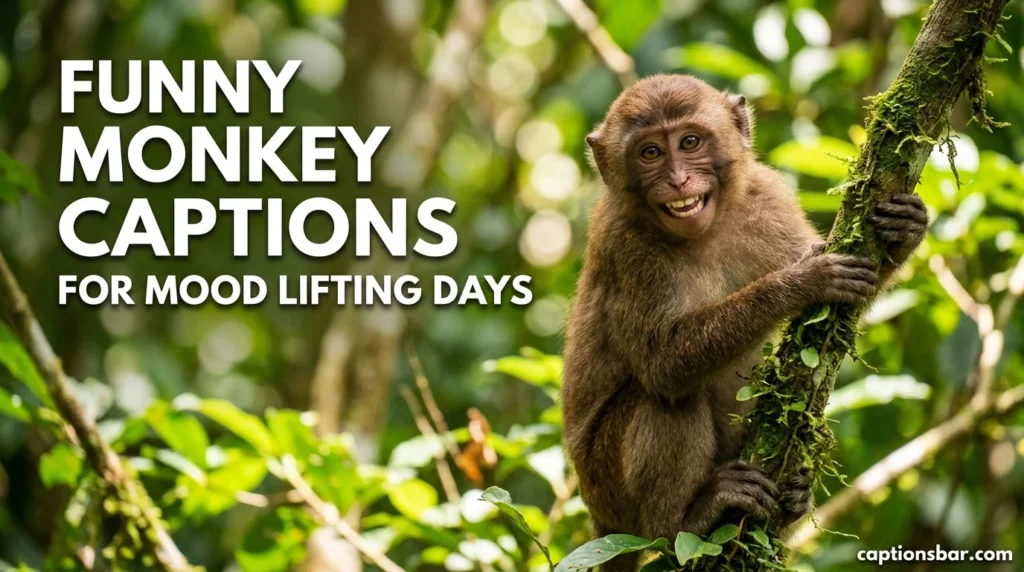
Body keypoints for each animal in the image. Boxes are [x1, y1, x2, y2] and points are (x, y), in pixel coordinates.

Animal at [561, 74, 927, 571]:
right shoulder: (624, 246)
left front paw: (906, 230)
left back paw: (793, 499)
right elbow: (663, 363)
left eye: (690, 142)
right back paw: (683, 522)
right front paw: (801, 282)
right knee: (665, 399)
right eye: (649, 152)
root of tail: (600, 518)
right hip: (608, 487)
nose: (678, 180)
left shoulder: (768, 198)